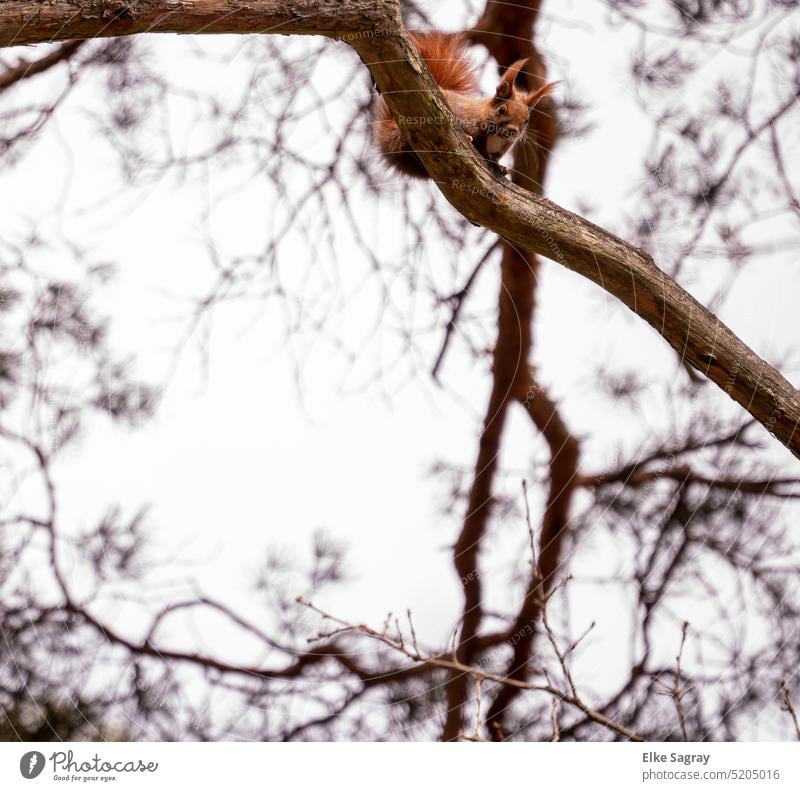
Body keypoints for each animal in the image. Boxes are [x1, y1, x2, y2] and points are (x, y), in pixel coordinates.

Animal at [376, 31, 556, 179]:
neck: (496, 134)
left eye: (527, 120)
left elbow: (495, 158)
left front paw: (500, 167)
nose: (513, 131)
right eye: (502, 110)